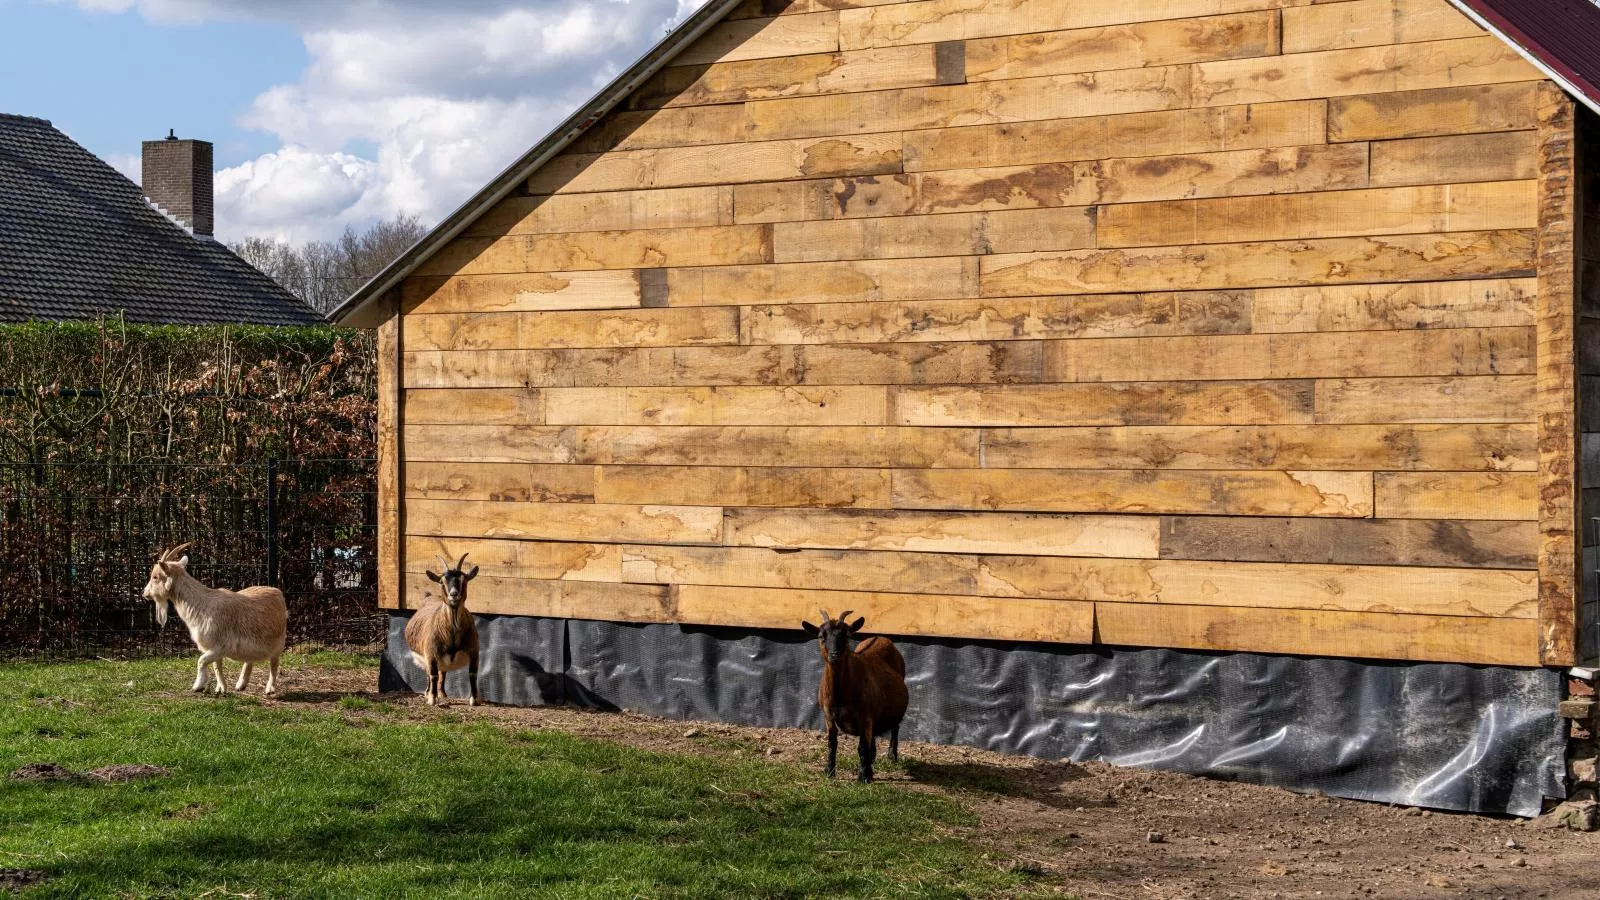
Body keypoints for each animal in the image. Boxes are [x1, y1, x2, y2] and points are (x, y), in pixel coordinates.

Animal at [142, 538, 289, 695]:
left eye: (155, 577)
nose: (145, 593)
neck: (200, 605)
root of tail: (277, 592)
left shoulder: (220, 646)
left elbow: (201, 661)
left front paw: (198, 686)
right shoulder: (212, 647)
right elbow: (216, 666)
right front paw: (221, 688)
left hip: (278, 643)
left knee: (274, 663)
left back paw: (270, 688)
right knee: (249, 660)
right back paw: (241, 684)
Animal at [403, 550, 476, 704]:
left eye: (464, 580)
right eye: (442, 582)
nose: (453, 594)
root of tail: (429, 596)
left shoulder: (474, 650)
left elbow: (472, 673)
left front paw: (474, 700)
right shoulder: (430, 651)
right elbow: (433, 675)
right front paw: (432, 699)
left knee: (443, 672)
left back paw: (443, 693)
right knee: (430, 673)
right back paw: (428, 692)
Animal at [800, 608, 915, 778]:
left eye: (847, 635)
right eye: (821, 636)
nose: (834, 654)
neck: (840, 695)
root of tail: (880, 637)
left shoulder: (865, 716)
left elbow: (862, 747)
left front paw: (864, 776)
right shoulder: (828, 716)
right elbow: (832, 744)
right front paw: (829, 771)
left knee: (895, 728)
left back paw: (891, 756)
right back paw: (872, 760)